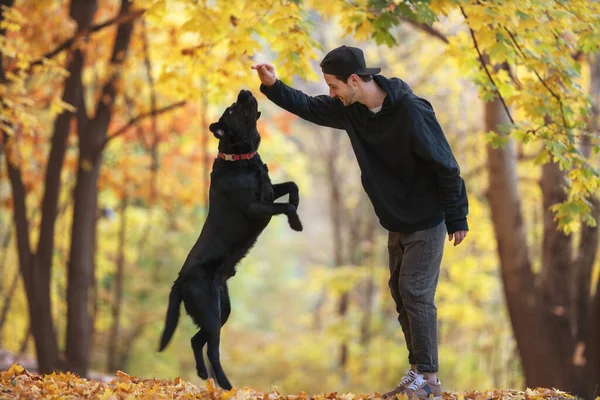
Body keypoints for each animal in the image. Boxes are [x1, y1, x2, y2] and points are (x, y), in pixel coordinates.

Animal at [158, 89, 302, 390]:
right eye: (232, 109)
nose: (245, 91)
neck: (241, 159)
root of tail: (180, 280)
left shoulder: (269, 192)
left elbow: (292, 187)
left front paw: (296, 205)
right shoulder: (256, 207)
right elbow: (286, 207)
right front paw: (296, 223)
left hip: (222, 310)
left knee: (195, 340)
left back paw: (204, 375)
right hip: (211, 312)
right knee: (211, 348)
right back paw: (225, 385)